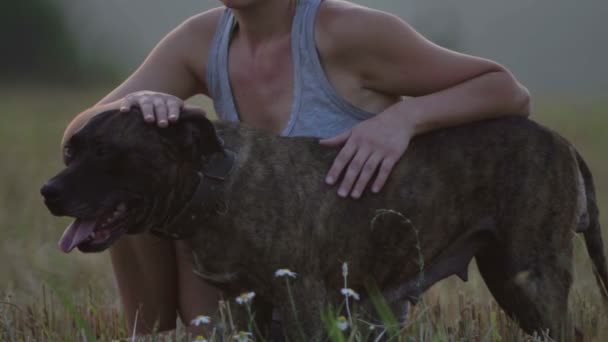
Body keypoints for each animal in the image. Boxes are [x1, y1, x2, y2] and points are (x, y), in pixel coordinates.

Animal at [42, 108, 608, 340]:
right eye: (71, 150)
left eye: (106, 152)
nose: (49, 192)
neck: (215, 182)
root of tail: (562, 141)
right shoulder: (242, 303)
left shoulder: (302, 301)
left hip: (530, 278)